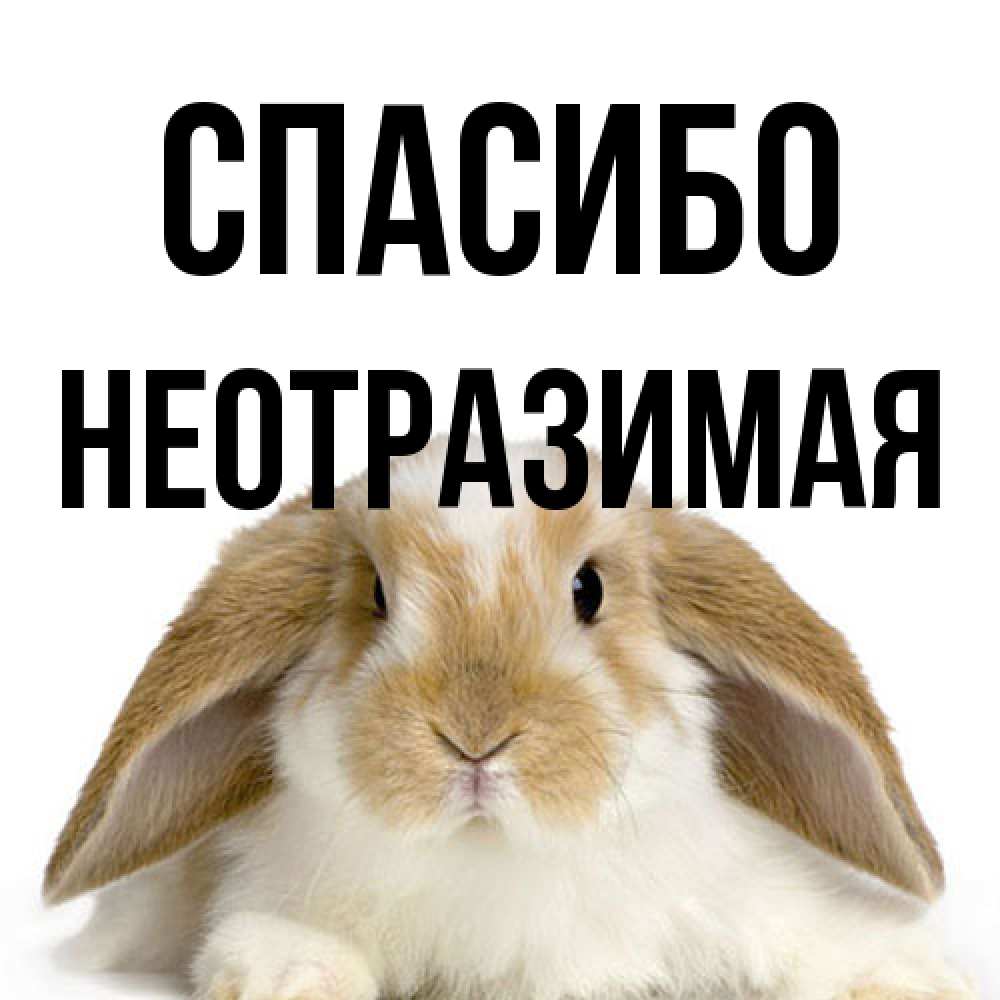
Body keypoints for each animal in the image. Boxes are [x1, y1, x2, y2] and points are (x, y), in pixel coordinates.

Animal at [45, 438, 975, 1000]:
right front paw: (290, 977)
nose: (475, 737)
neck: (495, 857)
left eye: (589, 589)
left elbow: (819, 939)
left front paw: (910, 978)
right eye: (376, 596)